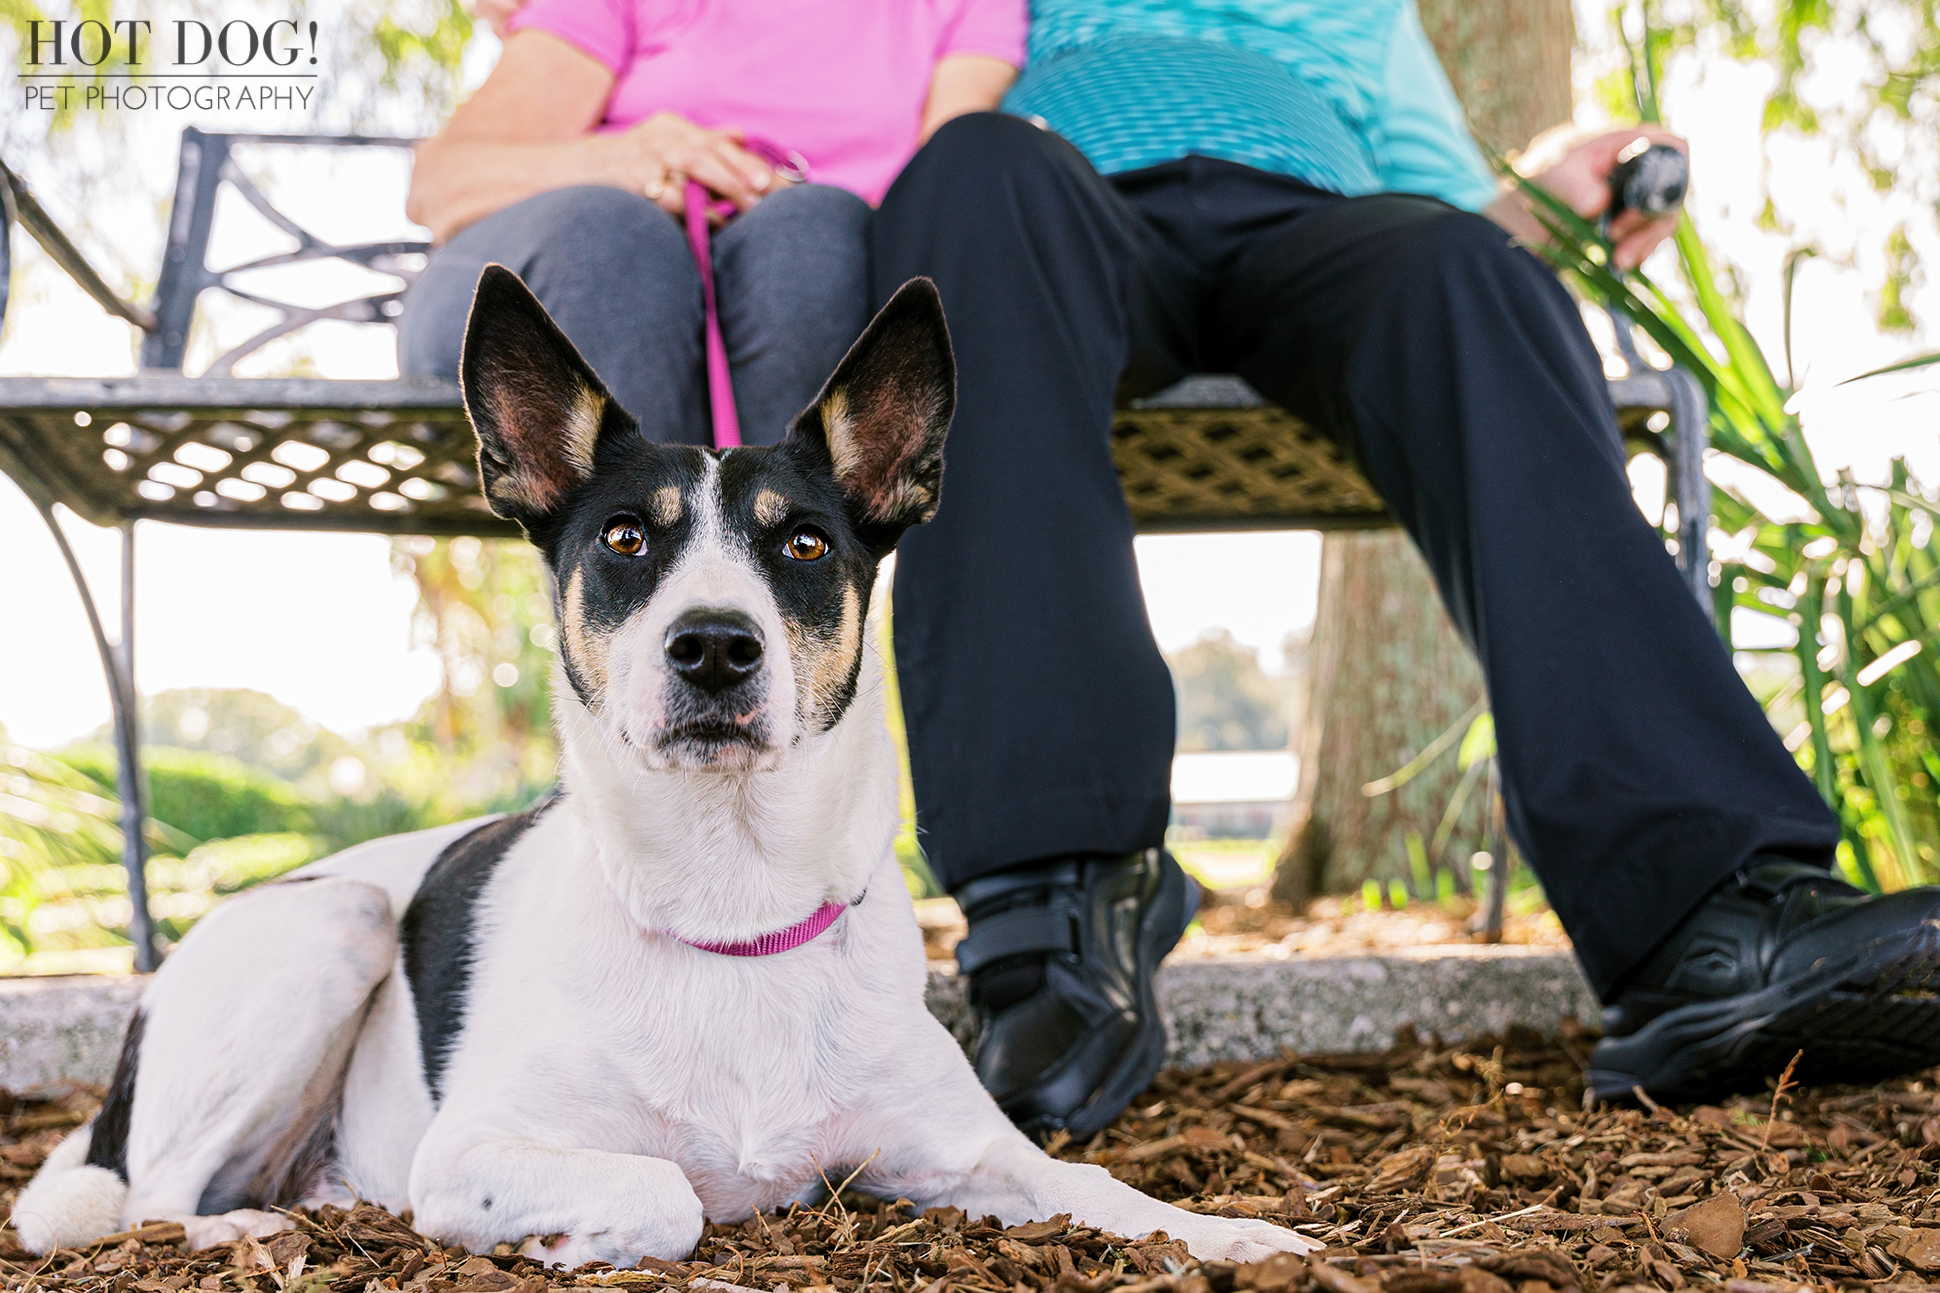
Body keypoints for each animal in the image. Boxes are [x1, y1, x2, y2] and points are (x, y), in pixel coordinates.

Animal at [7, 265, 1311, 1265]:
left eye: (804, 545)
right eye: (628, 539)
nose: (714, 646)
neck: (730, 908)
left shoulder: (967, 1145)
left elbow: (1089, 1187)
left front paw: (1233, 1234)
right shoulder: (469, 1154)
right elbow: (665, 1189)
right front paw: (573, 1242)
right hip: (327, 930)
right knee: (151, 1198)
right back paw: (247, 1229)